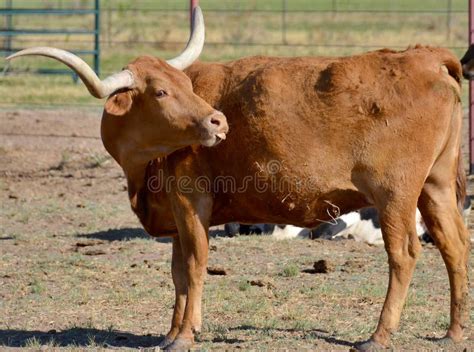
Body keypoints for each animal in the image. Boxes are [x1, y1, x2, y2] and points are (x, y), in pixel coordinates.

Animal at [6, 20, 466, 350]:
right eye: (161, 91)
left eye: (185, 85)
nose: (217, 121)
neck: (145, 168)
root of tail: (427, 57)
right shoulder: (176, 210)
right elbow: (178, 272)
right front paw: (171, 332)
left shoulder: (192, 201)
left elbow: (195, 265)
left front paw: (184, 336)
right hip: (435, 187)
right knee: (454, 246)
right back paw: (453, 331)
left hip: (395, 195)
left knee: (404, 254)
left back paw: (378, 336)